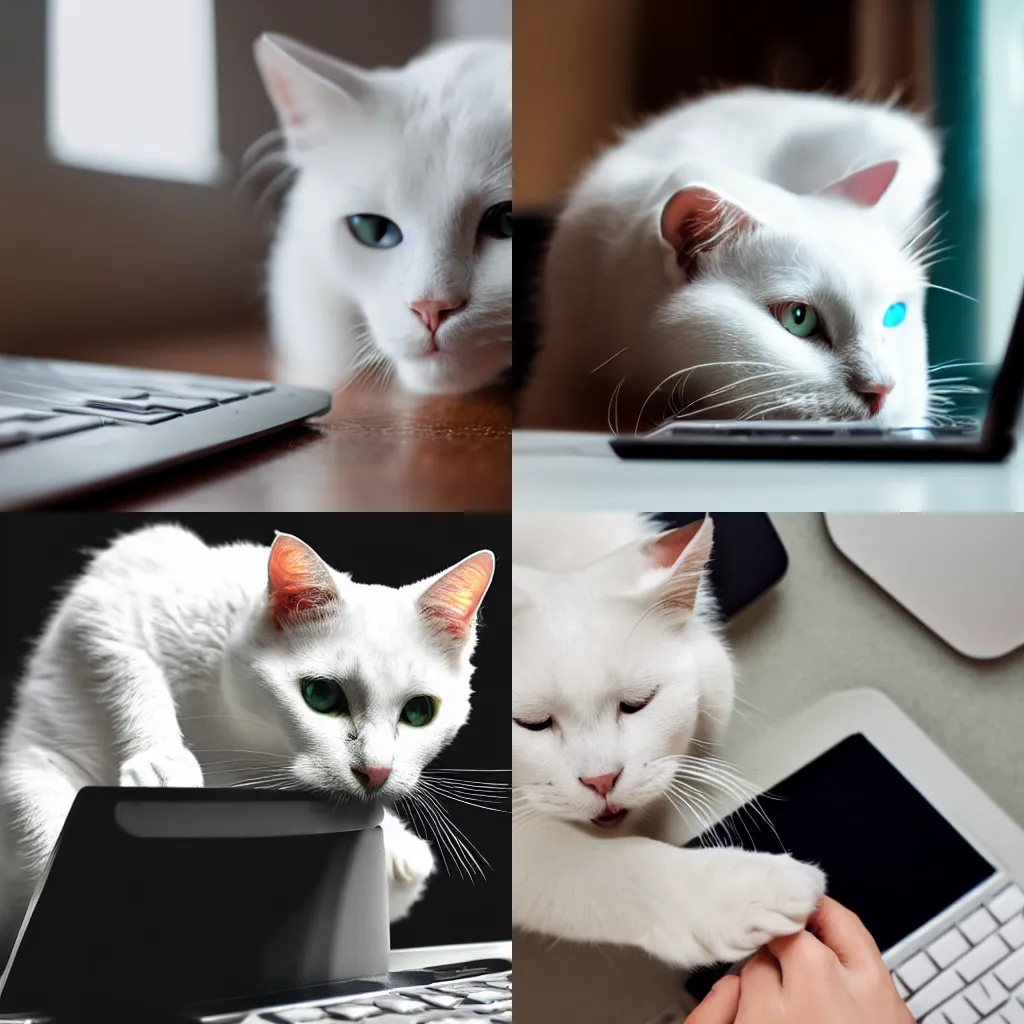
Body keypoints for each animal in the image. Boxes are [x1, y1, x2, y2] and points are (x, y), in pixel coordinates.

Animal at [0, 528, 495, 950]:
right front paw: (161, 757)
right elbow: (130, 668)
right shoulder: (107, 598)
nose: (375, 772)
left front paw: (394, 841)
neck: (236, 738)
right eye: (321, 695)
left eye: (419, 712)